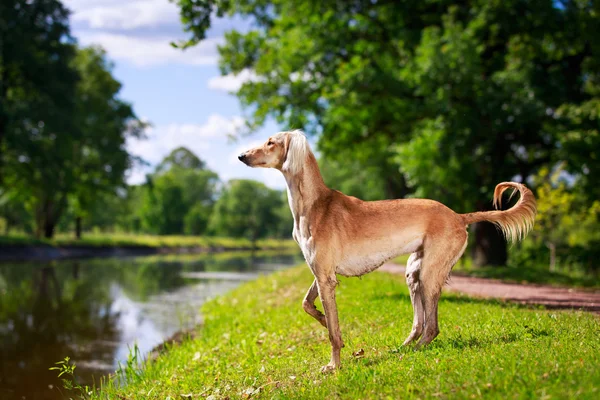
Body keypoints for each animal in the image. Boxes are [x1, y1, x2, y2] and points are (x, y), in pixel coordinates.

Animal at [237, 130, 536, 372]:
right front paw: (323, 320)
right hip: (413, 273)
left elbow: (332, 332)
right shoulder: (321, 274)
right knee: (419, 323)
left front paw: (334, 365)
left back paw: (413, 352)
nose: (241, 156)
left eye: (270, 142)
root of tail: (458, 216)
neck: (313, 204)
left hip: (430, 273)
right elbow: (307, 305)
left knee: (432, 327)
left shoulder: (326, 278)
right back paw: (402, 348)